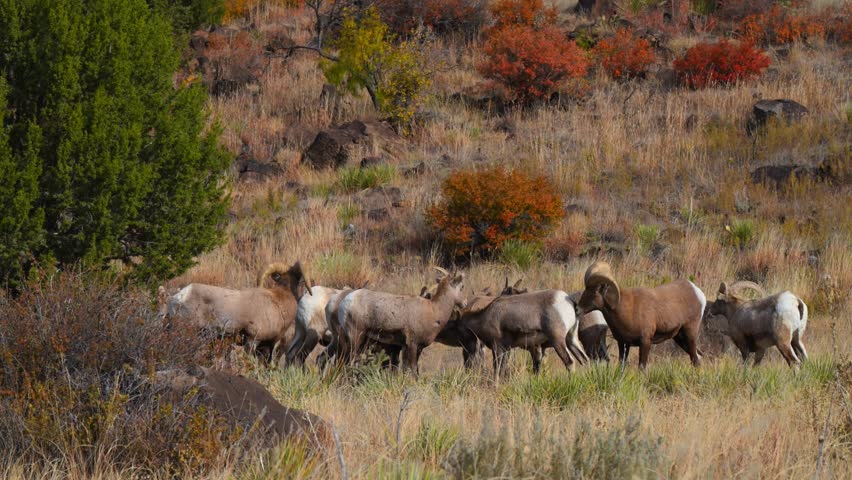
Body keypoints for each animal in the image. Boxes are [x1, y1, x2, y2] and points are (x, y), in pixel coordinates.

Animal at [337, 268, 467, 374]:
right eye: (461, 287)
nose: (465, 303)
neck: (433, 310)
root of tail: (346, 302)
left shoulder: (406, 347)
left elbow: (405, 369)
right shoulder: (413, 345)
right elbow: (413, 369)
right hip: (356, 336)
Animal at [456, 288, 589, 377]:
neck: (485, 316)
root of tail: (568, 300)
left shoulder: (497, 347)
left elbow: (497, 369)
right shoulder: (506, 349)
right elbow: (503, 368)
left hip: (558, 341)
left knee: (570, 362)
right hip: (571, 340)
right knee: (585, 359)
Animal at [575, 261, 705, 369]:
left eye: (594, 291)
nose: (577, 309)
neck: (625, 311)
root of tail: (697, 292)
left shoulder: (645, 342)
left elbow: (641, 367)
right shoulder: (623, 344)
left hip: (690, 333)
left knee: (695, 359)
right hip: (679, 337)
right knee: (697, 356)